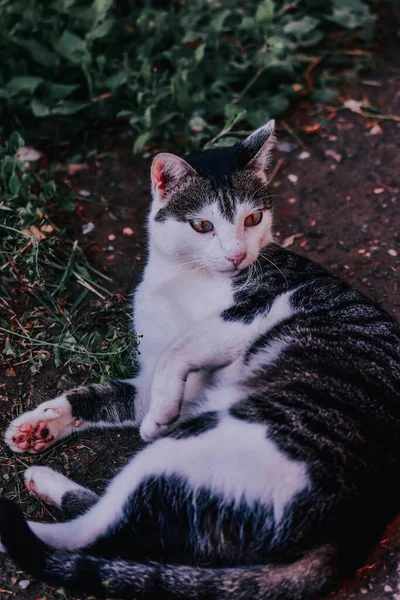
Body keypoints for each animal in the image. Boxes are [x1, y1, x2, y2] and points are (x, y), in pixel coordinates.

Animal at [0, 118, 400, 600]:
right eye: (202, 225)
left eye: (252, 218)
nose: (237, 255)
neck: (183, 277)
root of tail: (351, 531)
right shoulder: (158, 378)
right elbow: (102, 394)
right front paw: (39, 425)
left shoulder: (253, 310)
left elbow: (179, 350)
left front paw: (156, 419)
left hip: (204, 442)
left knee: (94, 534)